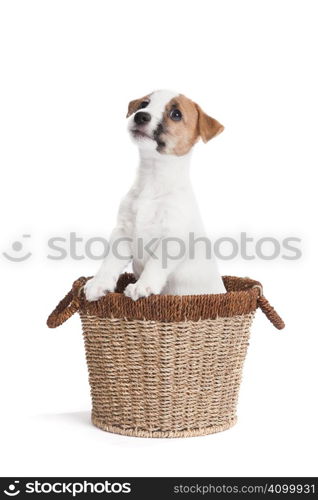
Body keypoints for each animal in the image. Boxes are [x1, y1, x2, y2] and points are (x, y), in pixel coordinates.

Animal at [84, 89, 226, 300]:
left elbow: (155, 264)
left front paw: (142, 286)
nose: (140, 116)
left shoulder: (172, 238)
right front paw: (98, 284)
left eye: (176, 114)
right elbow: (109, 262)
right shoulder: (122, 232)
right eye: (144, 104)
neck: (153, 180)